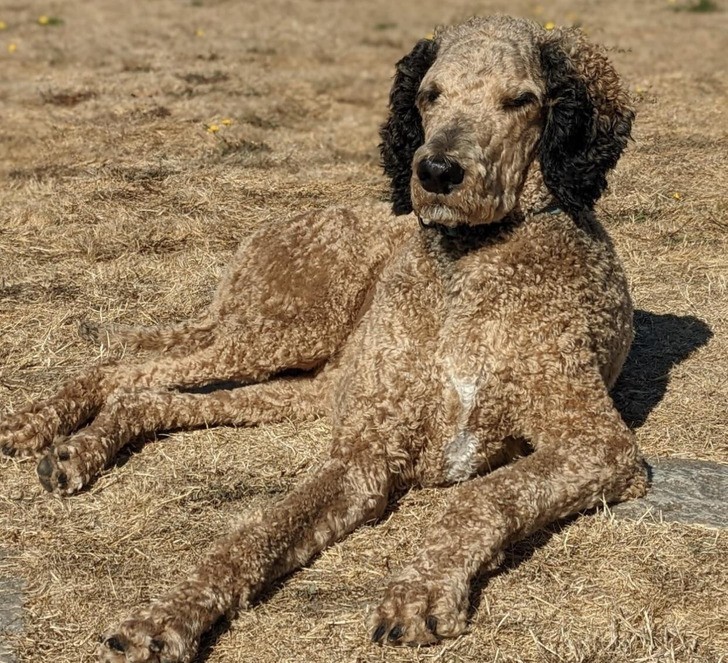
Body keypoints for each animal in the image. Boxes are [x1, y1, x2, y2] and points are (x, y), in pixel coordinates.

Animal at [0, 15, 648, 663]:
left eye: (520, 101)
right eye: (429, 95)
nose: (436, 172)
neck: (468, 265)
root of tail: (274, 224)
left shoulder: (599, 445)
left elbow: (481, 495)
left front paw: (419, 588)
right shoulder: (363, 453)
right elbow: (261, 530)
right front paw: (165, 615)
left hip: (304, 380)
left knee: (150, 394)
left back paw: (76, 448)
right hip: (282, 330)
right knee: (126, 363)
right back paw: (37, 424)